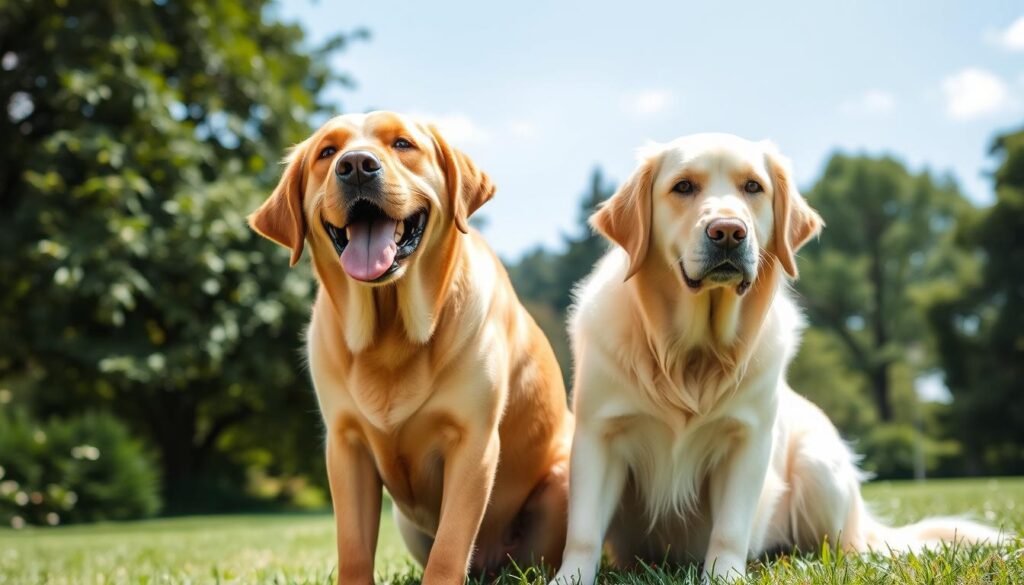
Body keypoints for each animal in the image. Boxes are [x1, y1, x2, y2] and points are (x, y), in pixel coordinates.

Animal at [244, 112, 573, 581]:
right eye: (327, 151)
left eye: (402, 143)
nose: (356, 166)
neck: (390, 329)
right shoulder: (346, 445)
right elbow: (353, 547)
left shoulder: (473, 441)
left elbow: (450, 548)